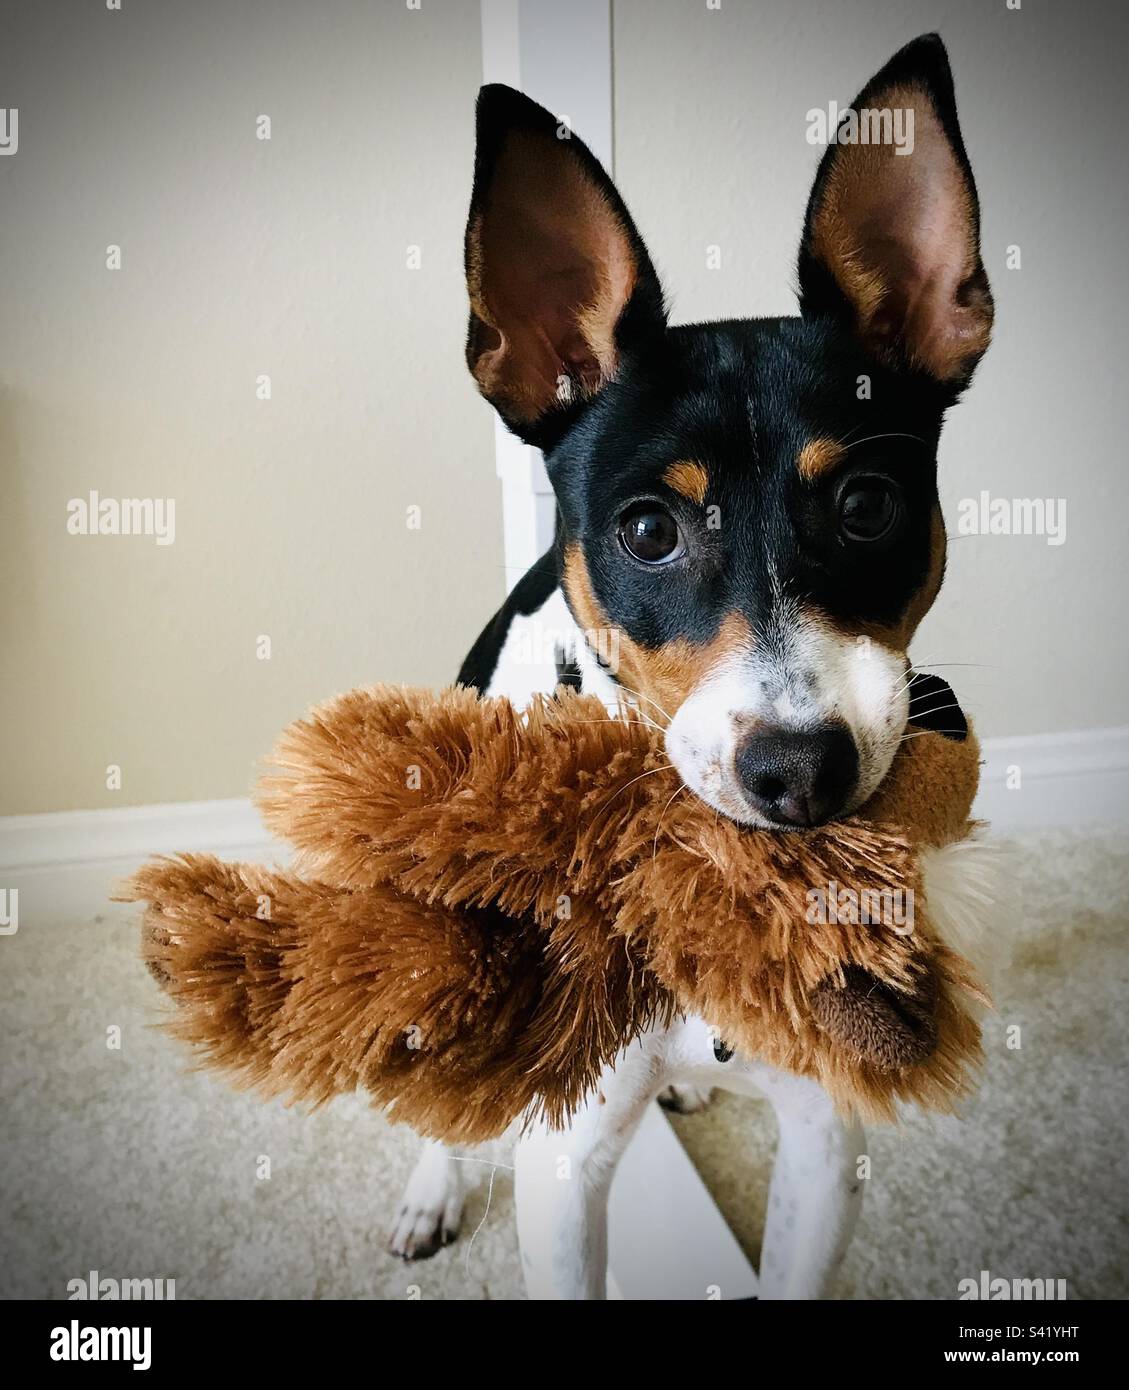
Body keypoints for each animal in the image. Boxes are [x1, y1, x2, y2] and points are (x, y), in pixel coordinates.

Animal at [389, 27, 995, 1295]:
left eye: (868, 504)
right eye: (647, 530)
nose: (799, 772)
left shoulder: (823, 1146)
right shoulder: (563, 1165)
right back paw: (431, 1185)